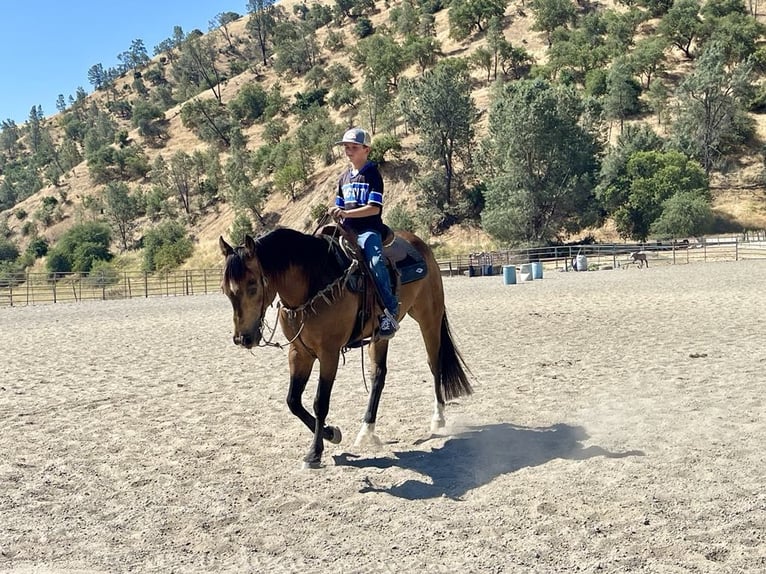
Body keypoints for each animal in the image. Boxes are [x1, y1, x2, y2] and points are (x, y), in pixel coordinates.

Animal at [219, 227, 473, 468]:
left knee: (435, 363)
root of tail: (420, 244)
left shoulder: (329, 354)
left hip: (429, 318)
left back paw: (438, 418)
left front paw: (315, 452)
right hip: (379, 336)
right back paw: (367, 431)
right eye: (226, 290)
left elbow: (320, 402)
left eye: (252, 285)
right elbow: (293, 401)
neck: (313, 282)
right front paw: (331, 433)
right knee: (378, 375)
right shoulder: (299, 352)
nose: (243, 338)